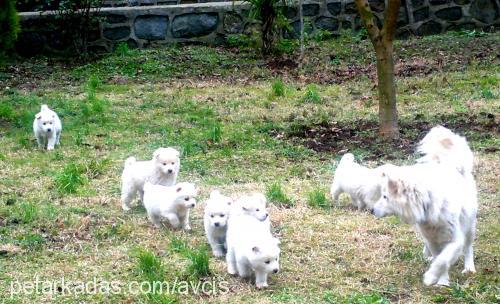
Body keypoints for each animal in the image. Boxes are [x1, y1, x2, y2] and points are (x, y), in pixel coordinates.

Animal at [376, 127, 476, 286]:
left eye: (385, 197)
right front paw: (441, 279)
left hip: (470, 226)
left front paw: (432, 277)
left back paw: (469, 268)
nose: (371, 210)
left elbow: (443, 260)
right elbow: (438, 258)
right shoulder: (432, 239)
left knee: (468, 247)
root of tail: (450, 165)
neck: (428, 204)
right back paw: (427, 255)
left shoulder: (455, 240)